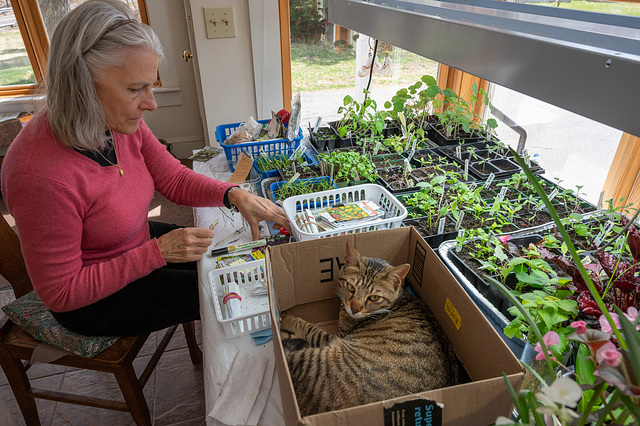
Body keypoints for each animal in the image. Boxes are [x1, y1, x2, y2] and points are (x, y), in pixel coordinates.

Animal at [280, 241, 460, 418]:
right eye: (351, 287)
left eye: (374, 297)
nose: (354, 309)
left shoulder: (333, 337)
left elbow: (309, 328)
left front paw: (286, 318)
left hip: (311, 360)